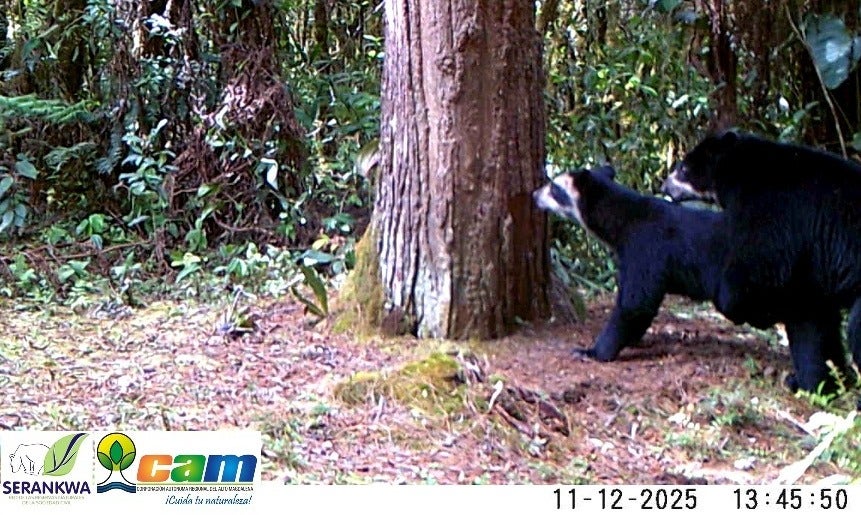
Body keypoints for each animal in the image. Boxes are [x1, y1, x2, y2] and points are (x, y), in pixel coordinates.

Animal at [533, 164, 728, 361]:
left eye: (554, 187)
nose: (534, 195)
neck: (623, 220)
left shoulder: (645, 248)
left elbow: (635, 302)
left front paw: (591, 351)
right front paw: (633, 339)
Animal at [662, 131, 861, 394]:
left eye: (684, 168)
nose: (664, 186)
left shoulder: (771, 209)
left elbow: (759, 269)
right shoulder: (813, 265)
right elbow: (814, 322)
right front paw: (816, 382)